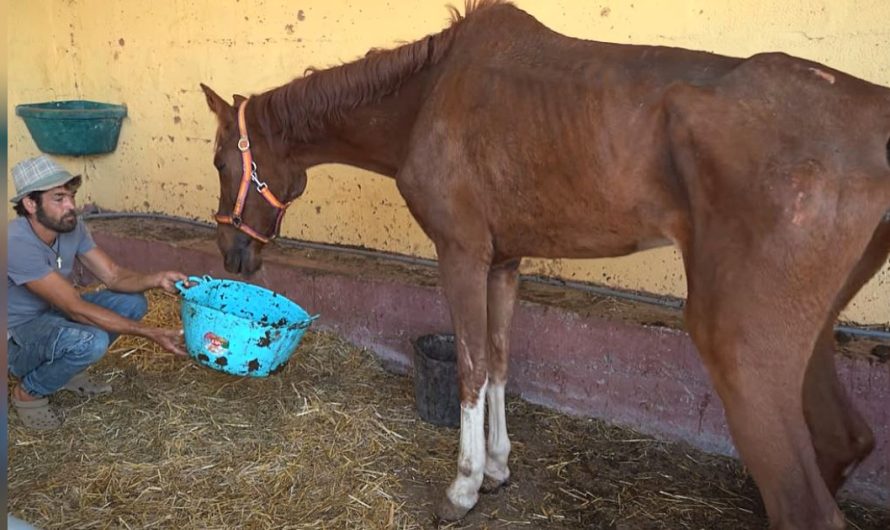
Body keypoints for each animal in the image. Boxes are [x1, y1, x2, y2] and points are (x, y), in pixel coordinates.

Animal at [199, 2, 888, 524]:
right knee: (843, 440)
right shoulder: (505, 261)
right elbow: (502, 362)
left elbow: (473, 366)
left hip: (741, 344)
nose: (232, 253)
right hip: (810, 336)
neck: (429, 96)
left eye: (220, 161)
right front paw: (499, 467)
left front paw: (464, 486)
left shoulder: (462, 254)